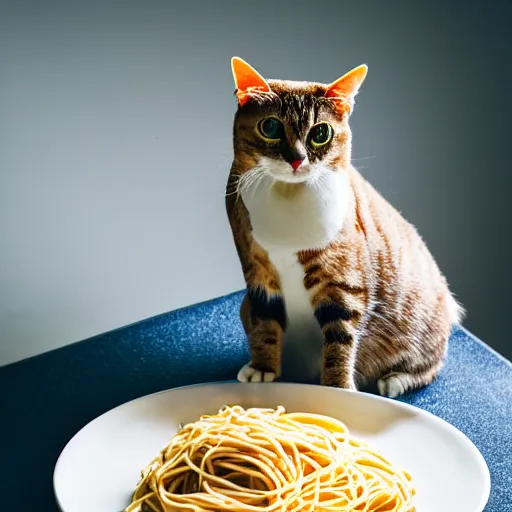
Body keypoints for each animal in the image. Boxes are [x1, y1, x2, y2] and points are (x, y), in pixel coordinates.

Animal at [225, 57, 464, 400]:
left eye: (320, 133)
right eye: (270, 127)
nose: (296, 159)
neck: (287, 197)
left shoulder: (343, 282)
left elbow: (340, 338)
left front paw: (338, 389)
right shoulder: (257, 272)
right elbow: (264, 319)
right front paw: (263, 368)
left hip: (420, 321)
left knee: (429, 363)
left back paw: (397, 379)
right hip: (243, 305)